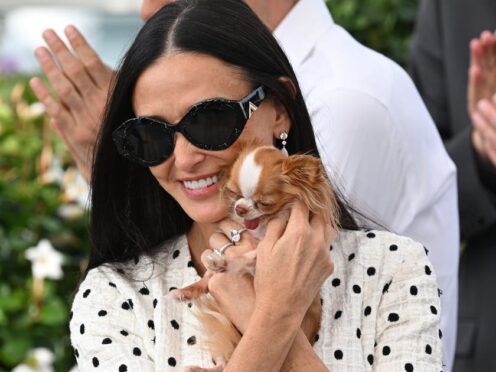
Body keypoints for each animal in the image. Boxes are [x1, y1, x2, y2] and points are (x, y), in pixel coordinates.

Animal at [176, 142, 340, 370]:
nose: (240, 208)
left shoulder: (267, 249)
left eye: (264, 203)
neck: (262, 228)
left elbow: (247, 258)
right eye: (235, 194)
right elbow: (208, 278)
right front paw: (189, 290)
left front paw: (224, 261)